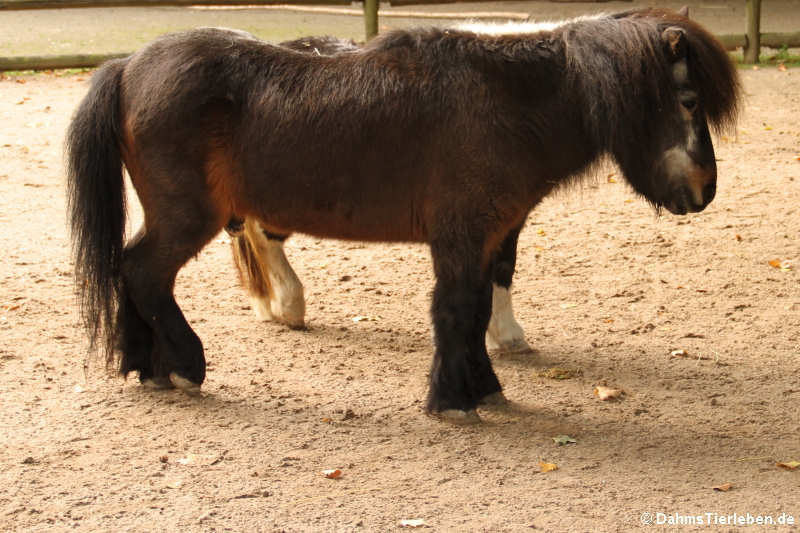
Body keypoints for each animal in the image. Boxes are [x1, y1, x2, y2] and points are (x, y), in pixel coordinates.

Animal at [67, 9, 736, 420]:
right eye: (688, 99)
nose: (705, 189)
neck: (505, 100)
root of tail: (127, 65)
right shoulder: (462, 239)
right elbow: (456, 311)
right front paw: (455, 398)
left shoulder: (490, 238)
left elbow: (479, 310)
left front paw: (485, 385)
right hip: (188, 217)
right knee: (146, 273)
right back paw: (185, 365)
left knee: (135, 270)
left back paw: (146, 365)